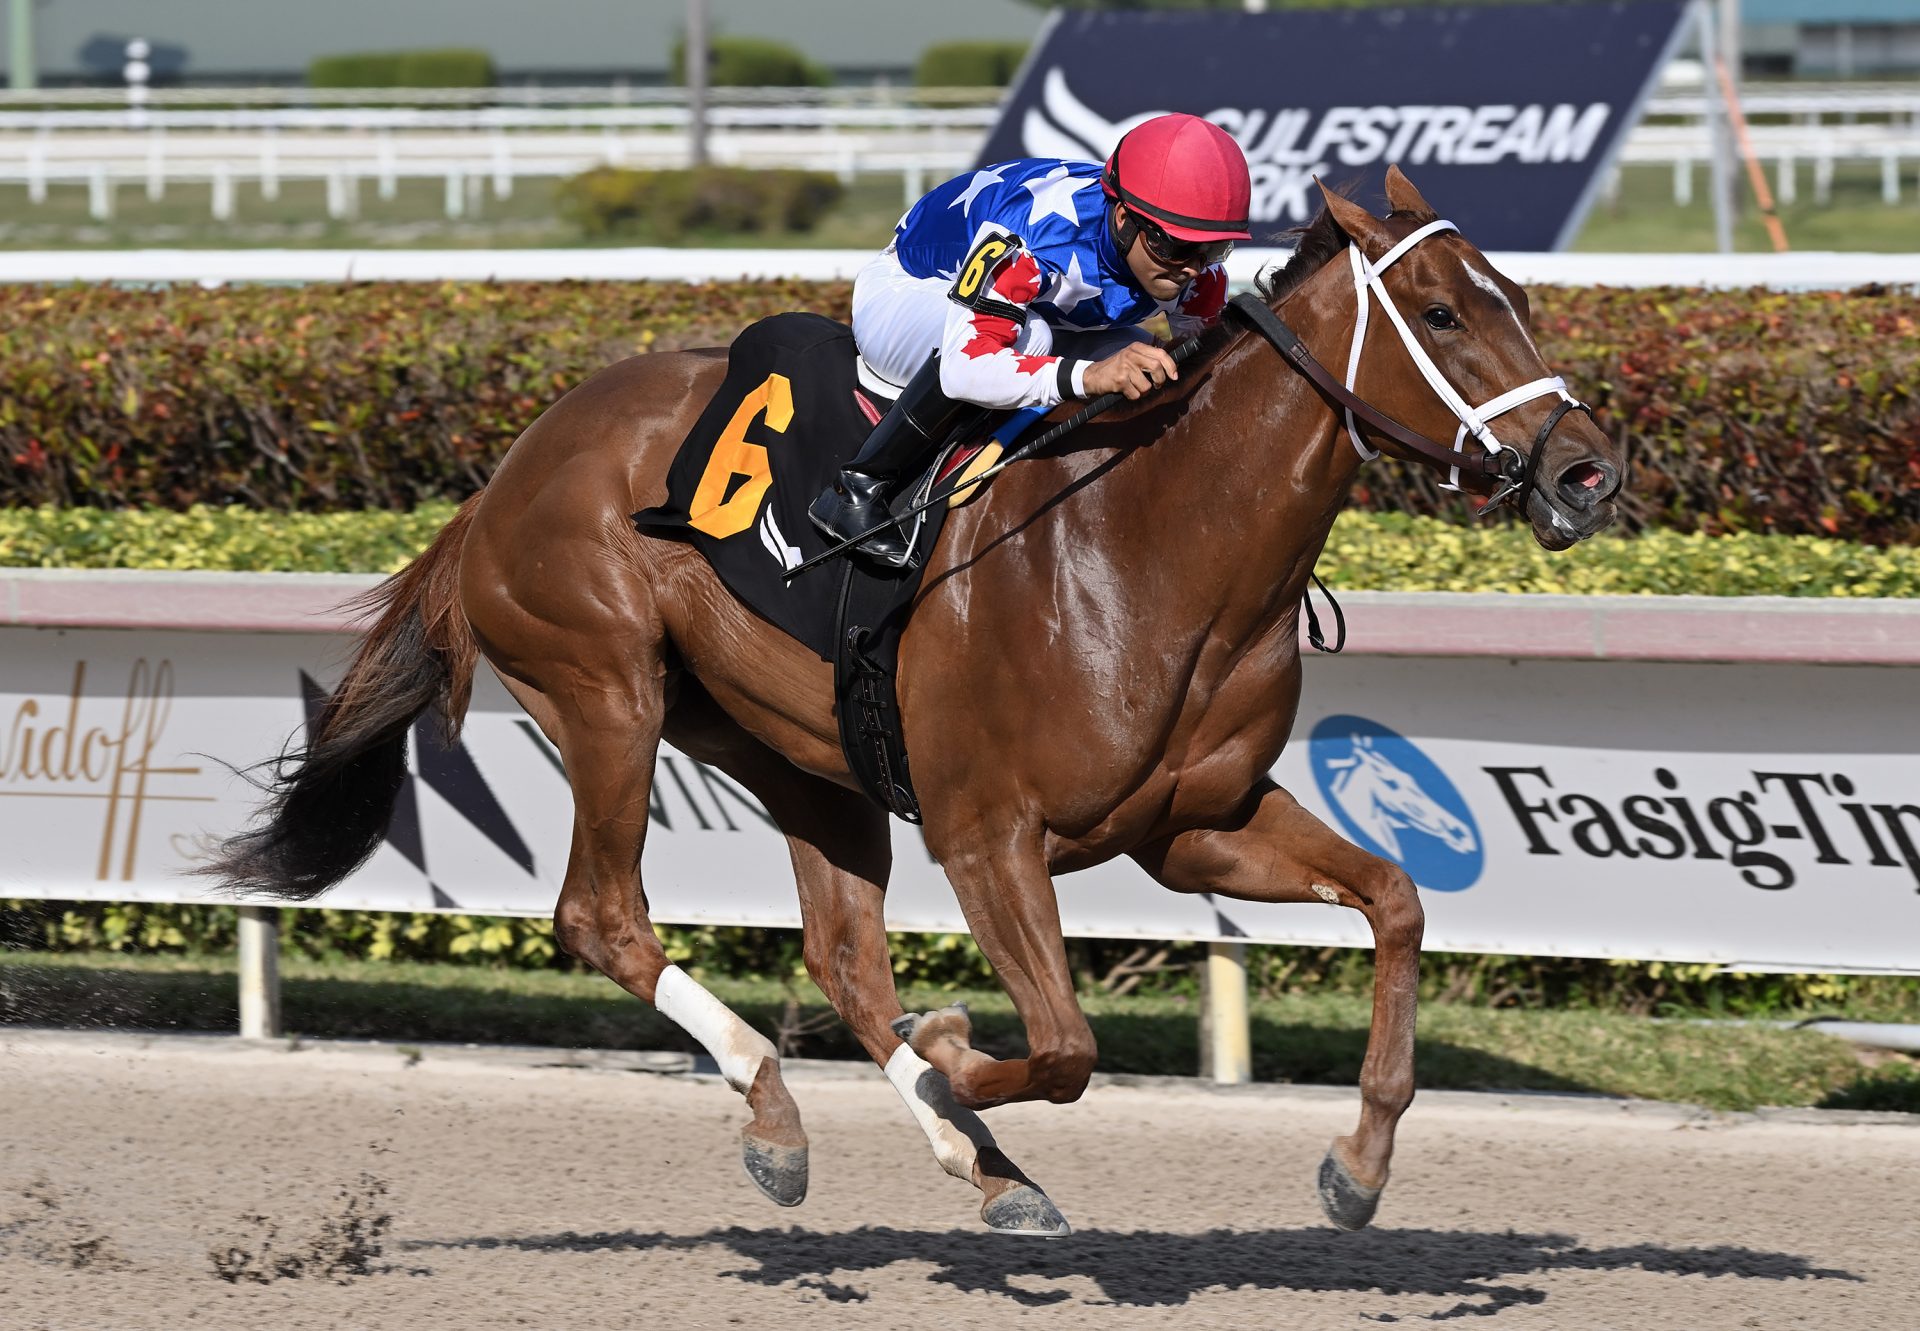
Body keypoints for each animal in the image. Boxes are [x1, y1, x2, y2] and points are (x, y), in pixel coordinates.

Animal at [210, 173, 1620, 1236]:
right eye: (1440, 312)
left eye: (1519, 298)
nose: (1587, 471)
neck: (1153, 549)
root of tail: (507, 473)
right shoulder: (989, 831)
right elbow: (1063, 1043)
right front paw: (952, 1056)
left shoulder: (1195, 826)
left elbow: (1396, 902)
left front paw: (1357, 1166)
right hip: (605, 689)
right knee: (603, 914)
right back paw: (790, 1110)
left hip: (798, 752)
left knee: (843, 957)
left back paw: (966, 1160)